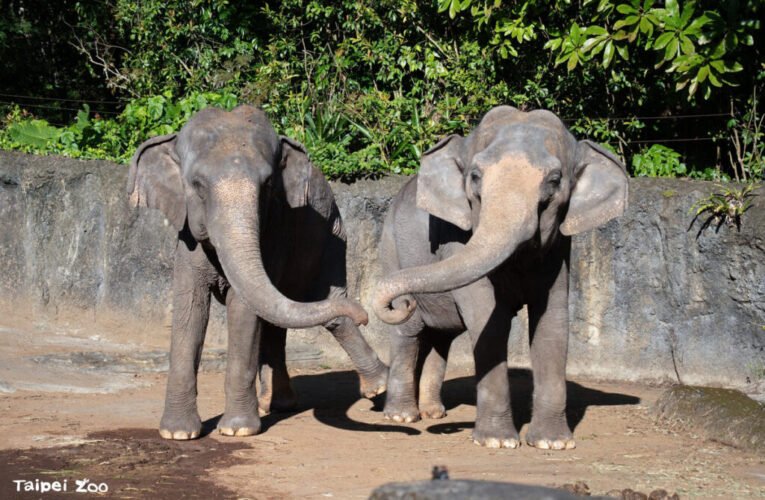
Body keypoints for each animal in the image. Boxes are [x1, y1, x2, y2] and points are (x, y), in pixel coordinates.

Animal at [127, 105, 388, 440]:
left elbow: (243, 310)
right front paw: (178, 434)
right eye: (197, 185)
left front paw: (237, 431)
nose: (366, 314)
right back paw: (273, 405)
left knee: (327, 308)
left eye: (267, 186)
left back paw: (377, 387)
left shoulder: (274, 231)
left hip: (332, 233)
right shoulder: (186, 238)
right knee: (281, 319)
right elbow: (190, 309)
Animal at [372, 106, 628, 450]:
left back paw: (433, 413)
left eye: (555, 180)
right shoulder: (458, 234)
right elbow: (486, 317)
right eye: (475, 177)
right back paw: (402, 417)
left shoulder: (559, 247)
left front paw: (553, 443)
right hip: (391, 247)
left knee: (439, 337)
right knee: (410, 332)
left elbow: (552, 319)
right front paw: (497, 441)